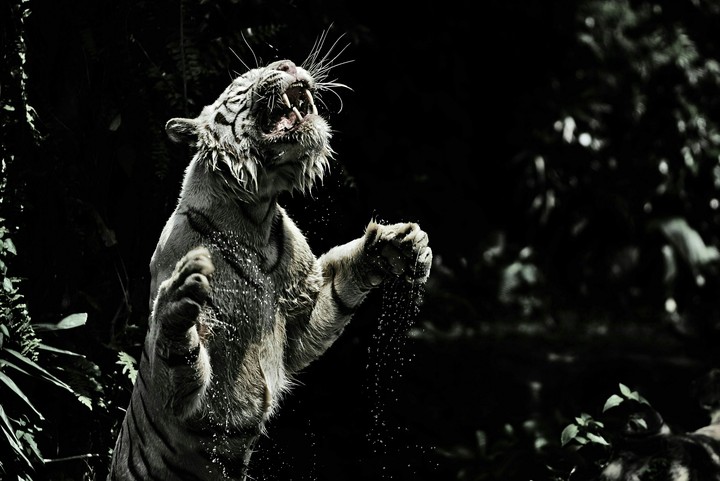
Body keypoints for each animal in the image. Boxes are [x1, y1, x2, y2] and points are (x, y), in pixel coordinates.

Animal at [106, 46, 433, 480]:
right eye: (243, 81)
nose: (287, 65)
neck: (255, 216)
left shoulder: (299, 316)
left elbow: (340, 288)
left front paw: (400, 245)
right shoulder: (190, 397)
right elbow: (177, 357)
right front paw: (179, 299)